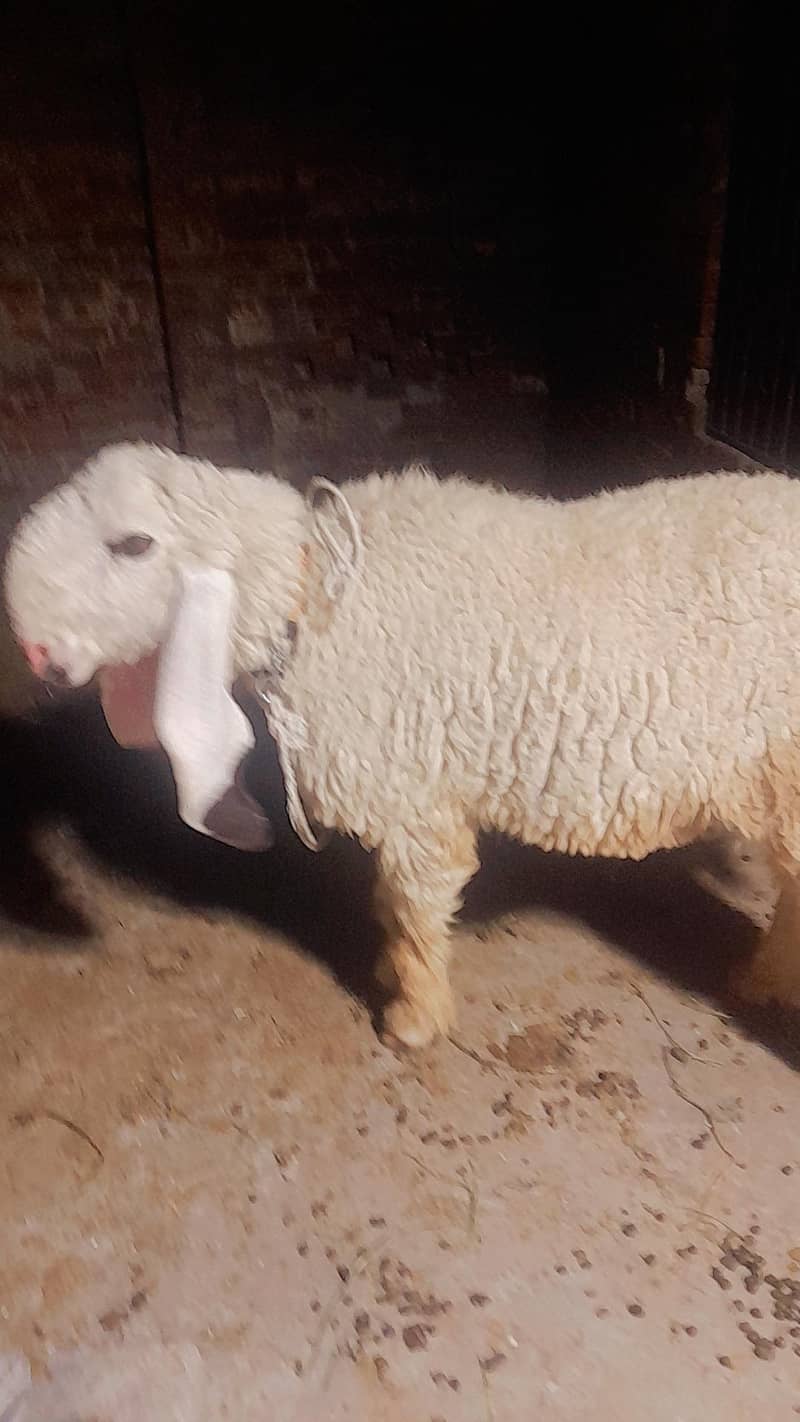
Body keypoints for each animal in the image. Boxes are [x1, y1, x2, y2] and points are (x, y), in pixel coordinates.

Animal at [6, 440, 800, 1048]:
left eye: (134, 544)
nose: (39, 655)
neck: (317, 596)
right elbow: (392, 901)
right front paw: (392, 973)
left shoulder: (415, 792)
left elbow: (418, 906)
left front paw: (413, 1019)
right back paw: (766, 980)